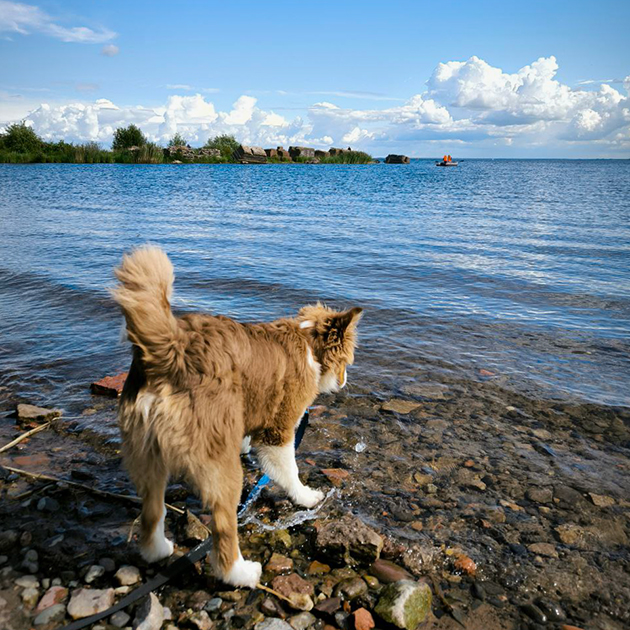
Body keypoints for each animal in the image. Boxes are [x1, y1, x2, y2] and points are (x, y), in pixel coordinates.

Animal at [111, 246, 362, 588]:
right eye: (346, 360)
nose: (345, 382)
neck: (308, 342)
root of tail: (172, 351)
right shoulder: (278, 429)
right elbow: (289, 470)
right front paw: (306, 497)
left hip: (147, 457)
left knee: (152, 514)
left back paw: (158, 550)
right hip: (220, 468)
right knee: (224, 529)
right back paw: (241, 573)